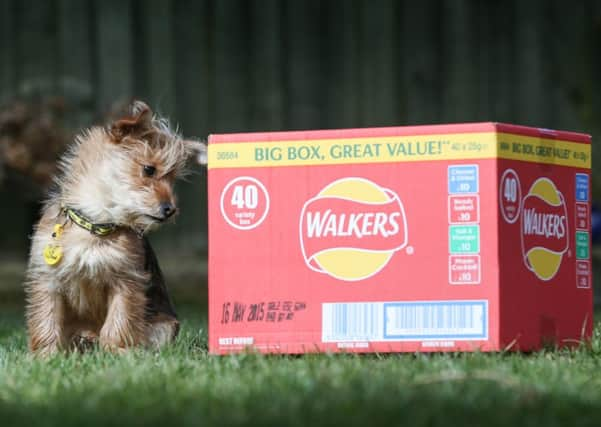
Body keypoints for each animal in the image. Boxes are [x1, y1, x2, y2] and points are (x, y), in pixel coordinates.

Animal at [24, 102, 206, 356]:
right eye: (149, 170)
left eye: (172, 180)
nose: (170, 209)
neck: (95, 223)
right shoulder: (47, 279)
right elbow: (46, 319)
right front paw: (45, 356)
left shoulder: (125, 280)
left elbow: (119, 321)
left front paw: (117, 353)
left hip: (164, 327)